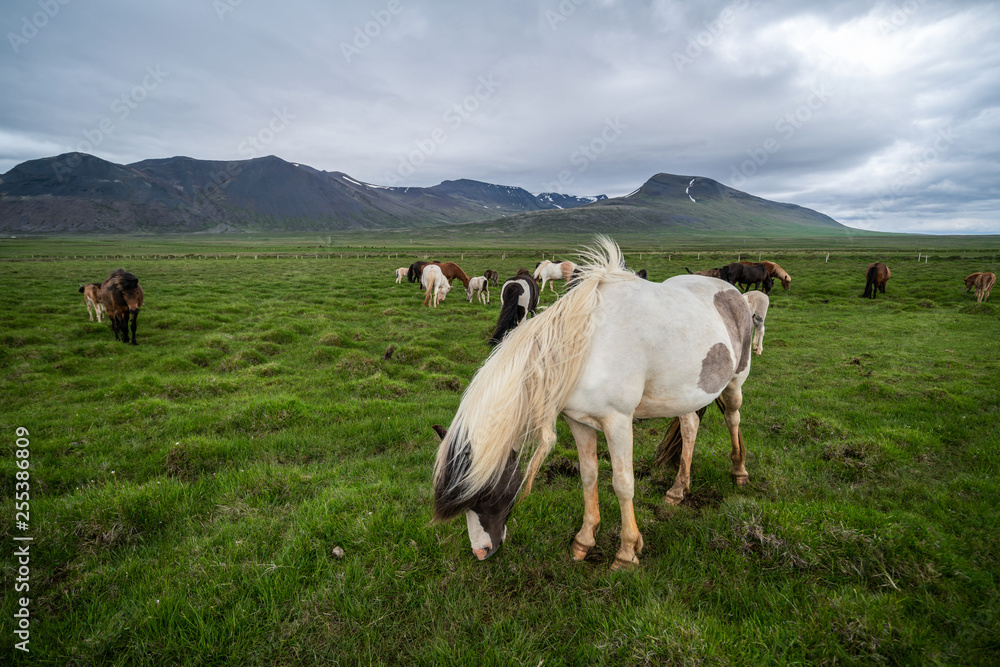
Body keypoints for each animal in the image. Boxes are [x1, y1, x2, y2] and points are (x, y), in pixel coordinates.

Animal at [434, 237, 752, 572]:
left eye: (482, 494)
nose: (481, 551)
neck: (583, 347)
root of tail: (730, 289)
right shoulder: (578, 421)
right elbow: (589, 477)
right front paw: (584, 542)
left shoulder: (619, 422)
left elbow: (623, 484)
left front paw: (627, 552)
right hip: (686, 394)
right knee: (690, 428)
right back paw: (678, 491)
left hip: (735, 382)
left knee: (733, 418)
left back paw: (740, 472)